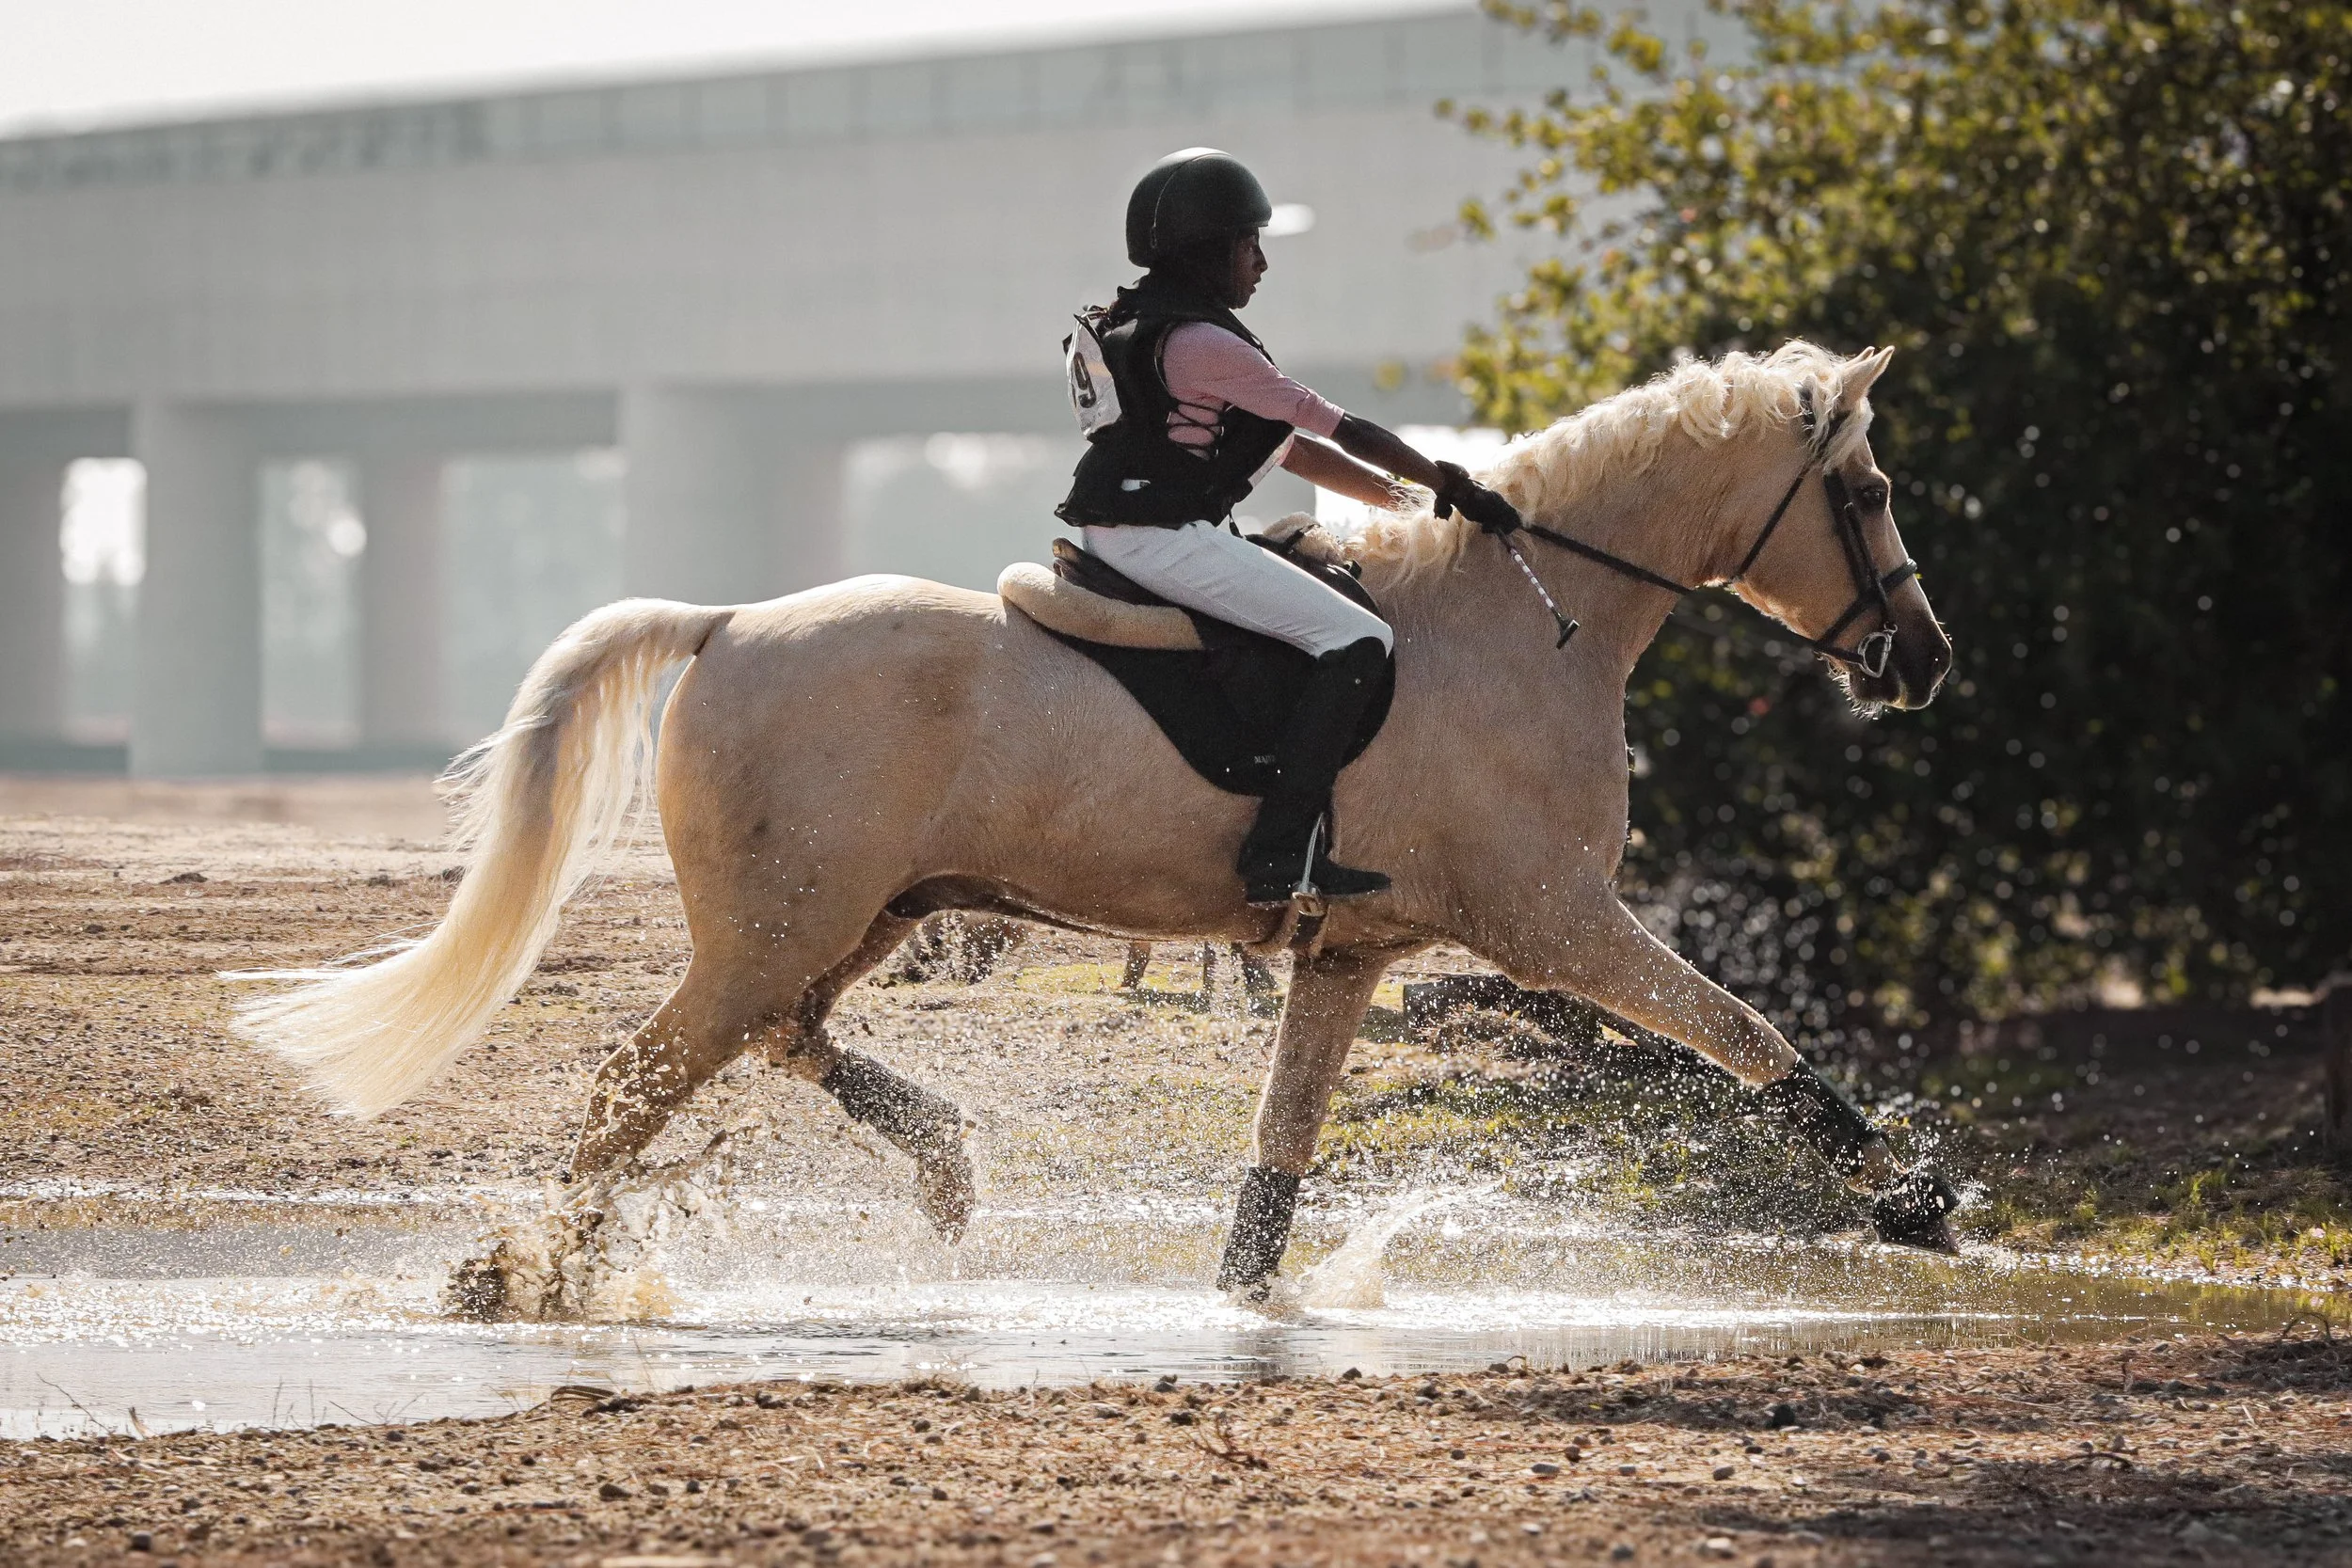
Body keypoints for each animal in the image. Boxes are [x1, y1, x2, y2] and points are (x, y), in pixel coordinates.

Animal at [232, 340, 1954, 1291]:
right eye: (1869, 494)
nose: (1924, 662)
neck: (1524, 627)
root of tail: (725, 624)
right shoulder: (1553, 921)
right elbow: (1745, 1032)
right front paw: (1916, 1199)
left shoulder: (1349, 954)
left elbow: (1277, 1156)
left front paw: (1245, 1298)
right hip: (781, 925)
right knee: (637, 1079)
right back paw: (545, 1274)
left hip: (864, 910)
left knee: (784, 1034)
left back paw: (941, 1162)